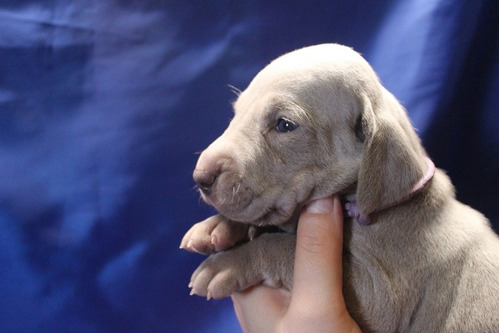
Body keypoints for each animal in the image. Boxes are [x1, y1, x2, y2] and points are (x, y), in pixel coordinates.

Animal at [179, 44, 496, 332]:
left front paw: (226, 264)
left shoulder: (377, 296)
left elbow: (283, 246)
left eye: (284, 125)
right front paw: (216, 228)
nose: (200, 177)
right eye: (237, 112)